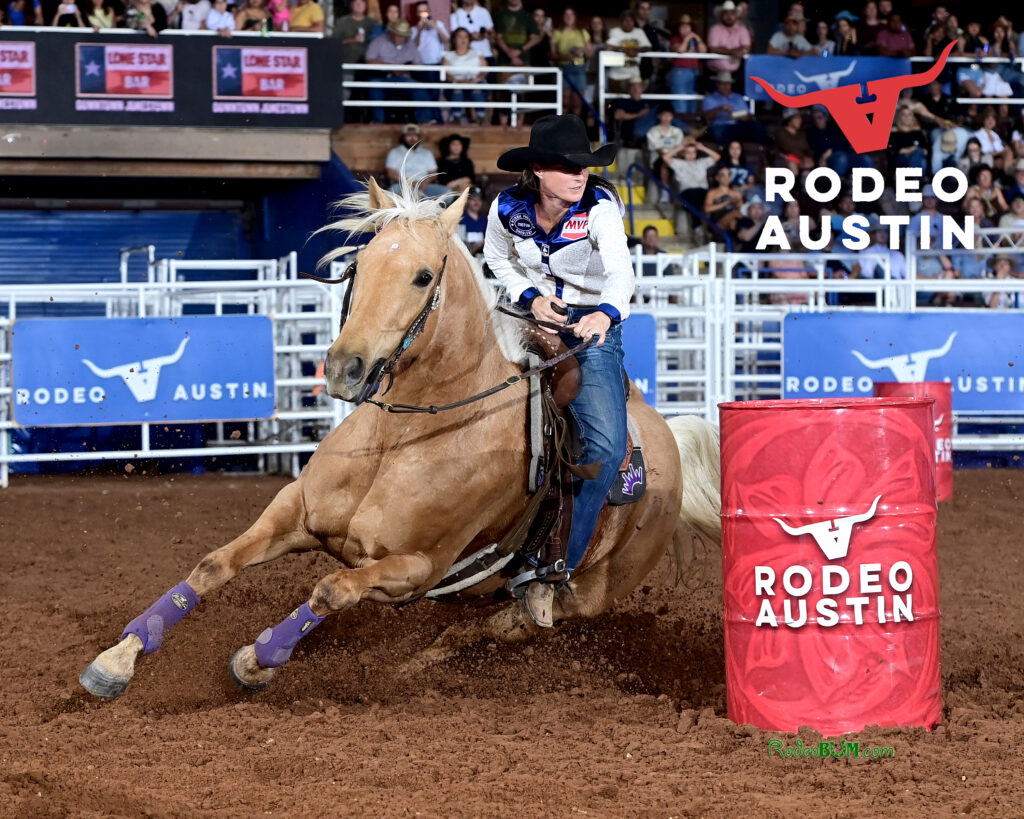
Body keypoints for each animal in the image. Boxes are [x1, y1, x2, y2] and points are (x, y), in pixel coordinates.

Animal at [79, 177, 722, 698]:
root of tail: (669, 438)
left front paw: (257, 659)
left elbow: (330, 590)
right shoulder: (293, 512)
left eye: (421, 276)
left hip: (587, 594)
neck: (405, 435)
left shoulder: (415, 569)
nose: (345, 368)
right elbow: (212, 566)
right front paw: (116, 660)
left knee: (508, 622)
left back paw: (417, 663)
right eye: (359, 267)